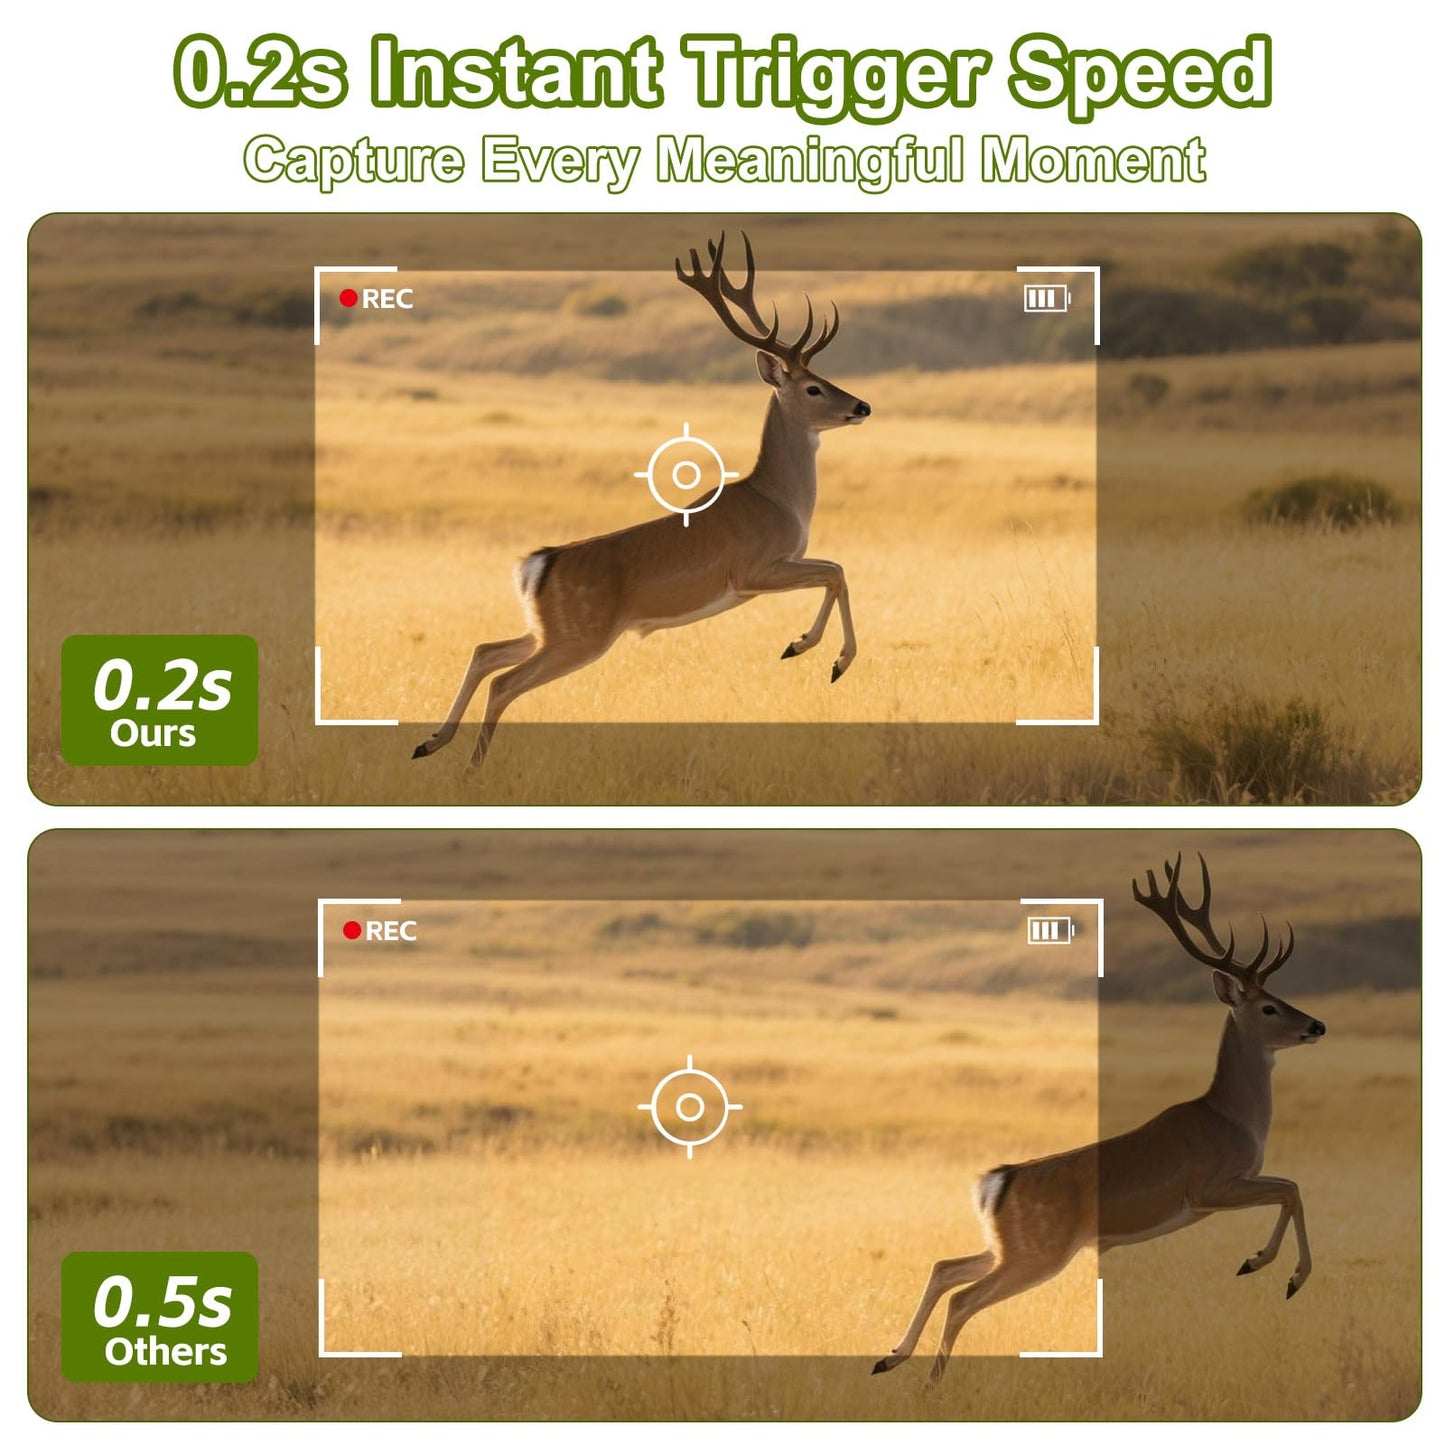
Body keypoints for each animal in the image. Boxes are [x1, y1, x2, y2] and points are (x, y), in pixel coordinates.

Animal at [411, 232, 871, 773]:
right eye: (814, 387)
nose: (862, 405)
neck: (777, 498)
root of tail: (536, 564)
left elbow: (836, 571)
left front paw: (810, 650)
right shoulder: (752, 571)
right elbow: (836, 570)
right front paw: (815, 653)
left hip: (551, 629)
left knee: (485, 650)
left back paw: (429, 742)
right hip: (580, 637)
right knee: (504, 682)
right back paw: (470, 772)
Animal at [872, 854, 1326, 1384]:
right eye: (1269, 1006)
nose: (1317, 1025)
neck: (1232, 1117)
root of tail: (995, 1182)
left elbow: (1290, 1188)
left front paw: (1264, 1265)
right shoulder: (1208, 1187)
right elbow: (1290, 1187)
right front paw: (1274, 1270)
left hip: (1011, 1245)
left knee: (945, 1266)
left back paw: (889, 1357)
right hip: (1038, 1252)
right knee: (963, 1299)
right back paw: (930, 1384)